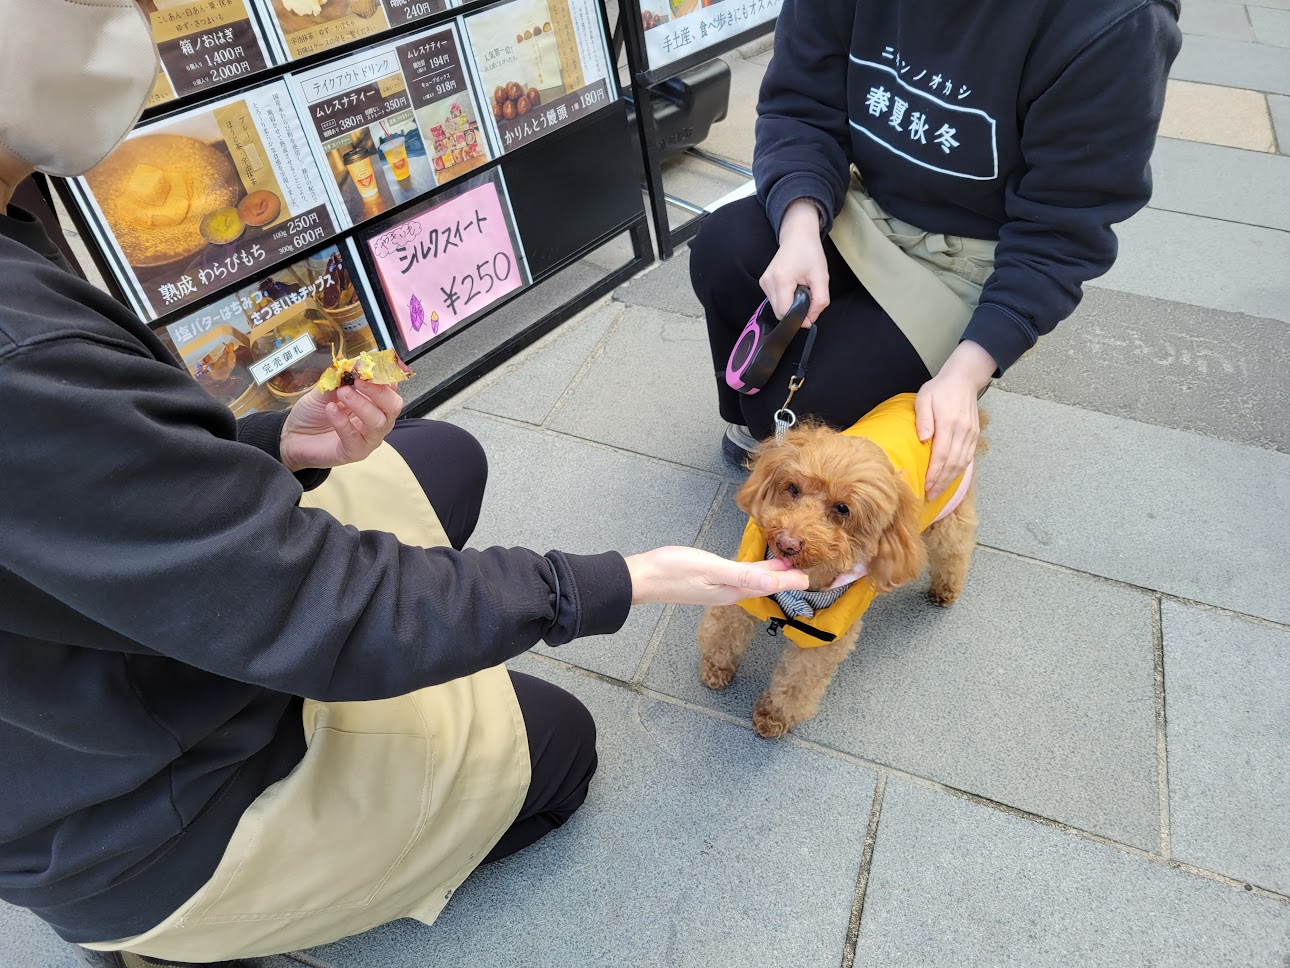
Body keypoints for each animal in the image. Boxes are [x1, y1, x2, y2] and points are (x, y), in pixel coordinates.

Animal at [696, 418, 985, 743]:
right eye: (792, 488)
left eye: (843, 509)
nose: (787, 543)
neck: (804, 584)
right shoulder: (746, 588)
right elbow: (724, 631)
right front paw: (716, 668)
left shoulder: (823, 639)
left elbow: (797, 684)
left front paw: (774, 716)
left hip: (950, 513)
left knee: (955, 548)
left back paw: (946, 589)